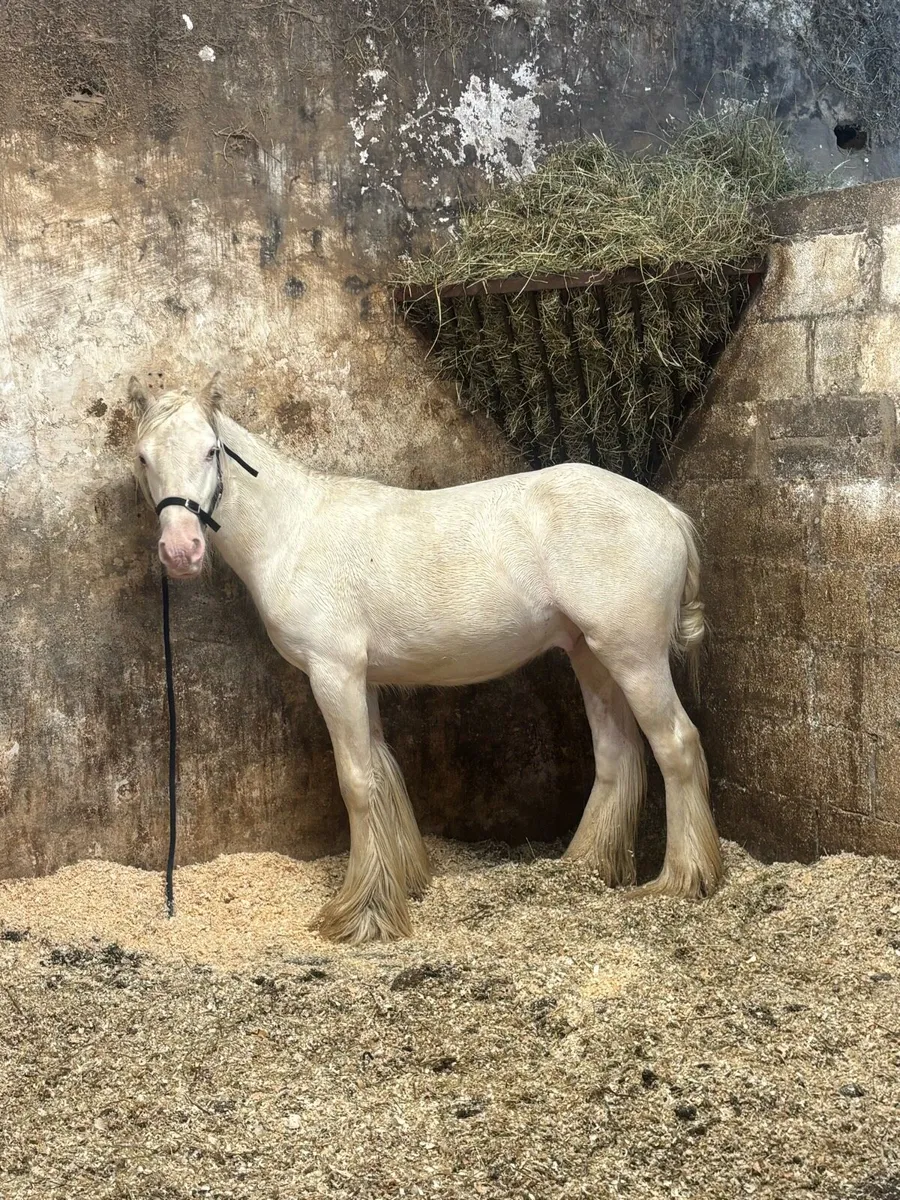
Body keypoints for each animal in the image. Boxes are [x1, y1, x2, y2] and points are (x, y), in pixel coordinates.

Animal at [128, 372, 723, 943]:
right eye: (143, 457)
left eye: (211, 451)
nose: (181, 552)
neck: (294, 534)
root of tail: (666, 512)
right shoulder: (360, 679)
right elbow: (382, 775)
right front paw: (401, 885)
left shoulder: (334, 674)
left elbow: (357, 784)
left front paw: (361, 916)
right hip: (591, 655)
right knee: (616, 754)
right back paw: (584, 867)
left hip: (634, 657)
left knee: (676, 745)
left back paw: (683, 879)